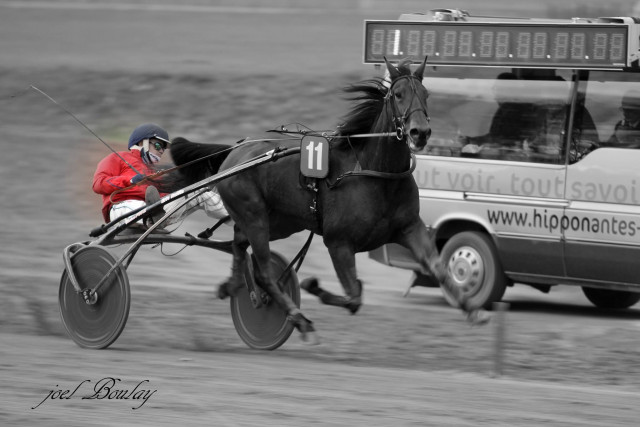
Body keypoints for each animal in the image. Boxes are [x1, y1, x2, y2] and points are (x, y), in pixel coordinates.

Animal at [168, 58, 488, 342]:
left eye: (426, 94)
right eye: (398, 95)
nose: (420, 132)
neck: (375, 173)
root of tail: (234, 152)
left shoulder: (410, 228)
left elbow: (439, 268)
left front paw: (473, 310)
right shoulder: (339, 241)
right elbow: (354, 295)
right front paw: (313, 285)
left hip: (279, 222)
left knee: (238, 244)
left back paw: (232, 285)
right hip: (255, 216)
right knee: (264, 272)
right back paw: (298, 318)